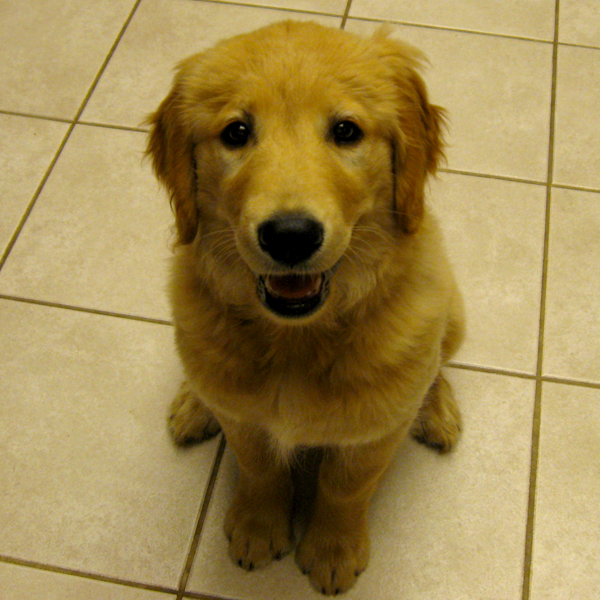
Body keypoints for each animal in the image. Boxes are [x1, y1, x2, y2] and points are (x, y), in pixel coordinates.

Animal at [145, 18, 464, 596]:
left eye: (346, 131)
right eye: (236, 133)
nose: (290, 236)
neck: (297, 338)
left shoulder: (372, 435)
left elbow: (346, 487)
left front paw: (333, 551)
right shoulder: (245, 418)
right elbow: (258, 467)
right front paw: (258, 527)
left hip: (453, 313)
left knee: (435, 367)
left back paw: (436, 410)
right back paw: (193, 404)